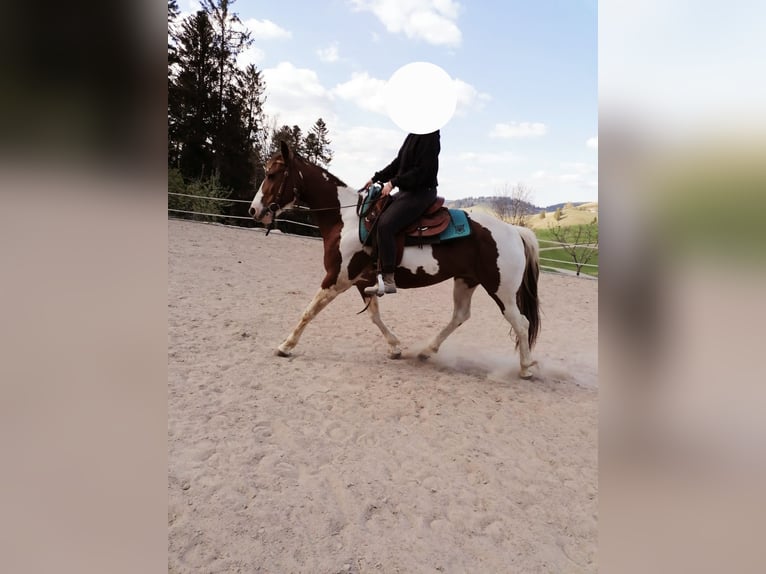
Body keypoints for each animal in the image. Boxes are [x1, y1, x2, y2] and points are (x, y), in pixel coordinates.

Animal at [249, 141, 541, 379]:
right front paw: (395, 347)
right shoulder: (362, 281)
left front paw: (286, 345)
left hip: (501, 290)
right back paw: (427, 351)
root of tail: (514, 231)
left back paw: (526, 368)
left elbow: (309, 311)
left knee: (521, 322)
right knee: (460, 315)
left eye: (272, 174)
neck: (348, 219)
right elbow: (374, 316)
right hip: (466, 281)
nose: (254, 210)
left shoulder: (337, 278)